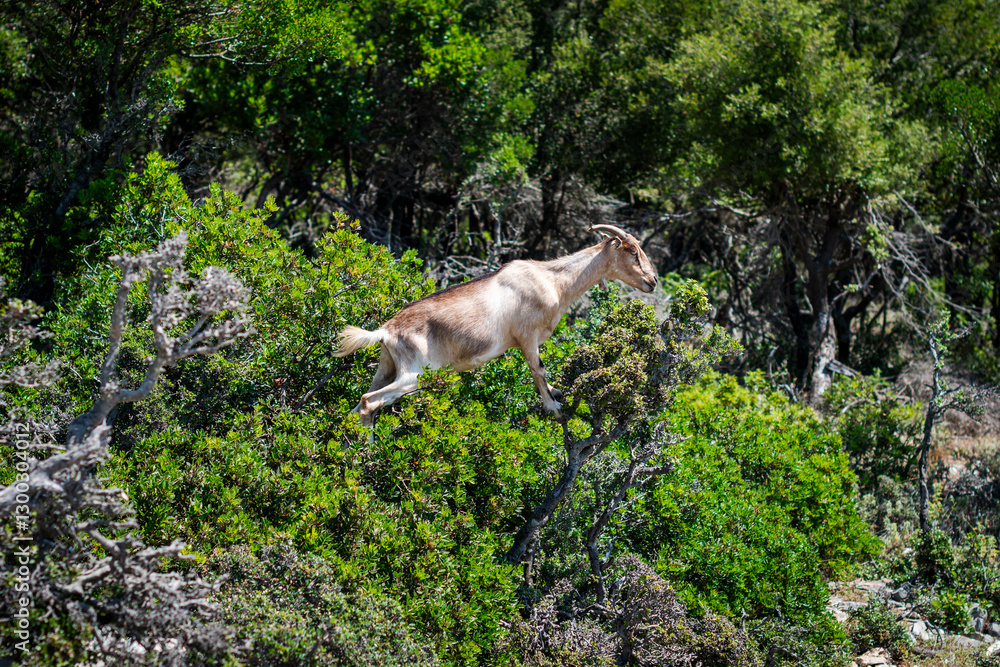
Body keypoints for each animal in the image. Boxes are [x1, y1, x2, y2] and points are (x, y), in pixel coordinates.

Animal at [334, 224, 657, 427]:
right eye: (632, 251)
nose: (652, 281)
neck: (553, 281)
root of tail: (386, 331)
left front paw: (557, 393)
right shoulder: (527, 337)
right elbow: (538, 369)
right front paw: (554, 409)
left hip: (386, 368)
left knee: (356, 408)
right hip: (415, 373)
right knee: (368, 402)